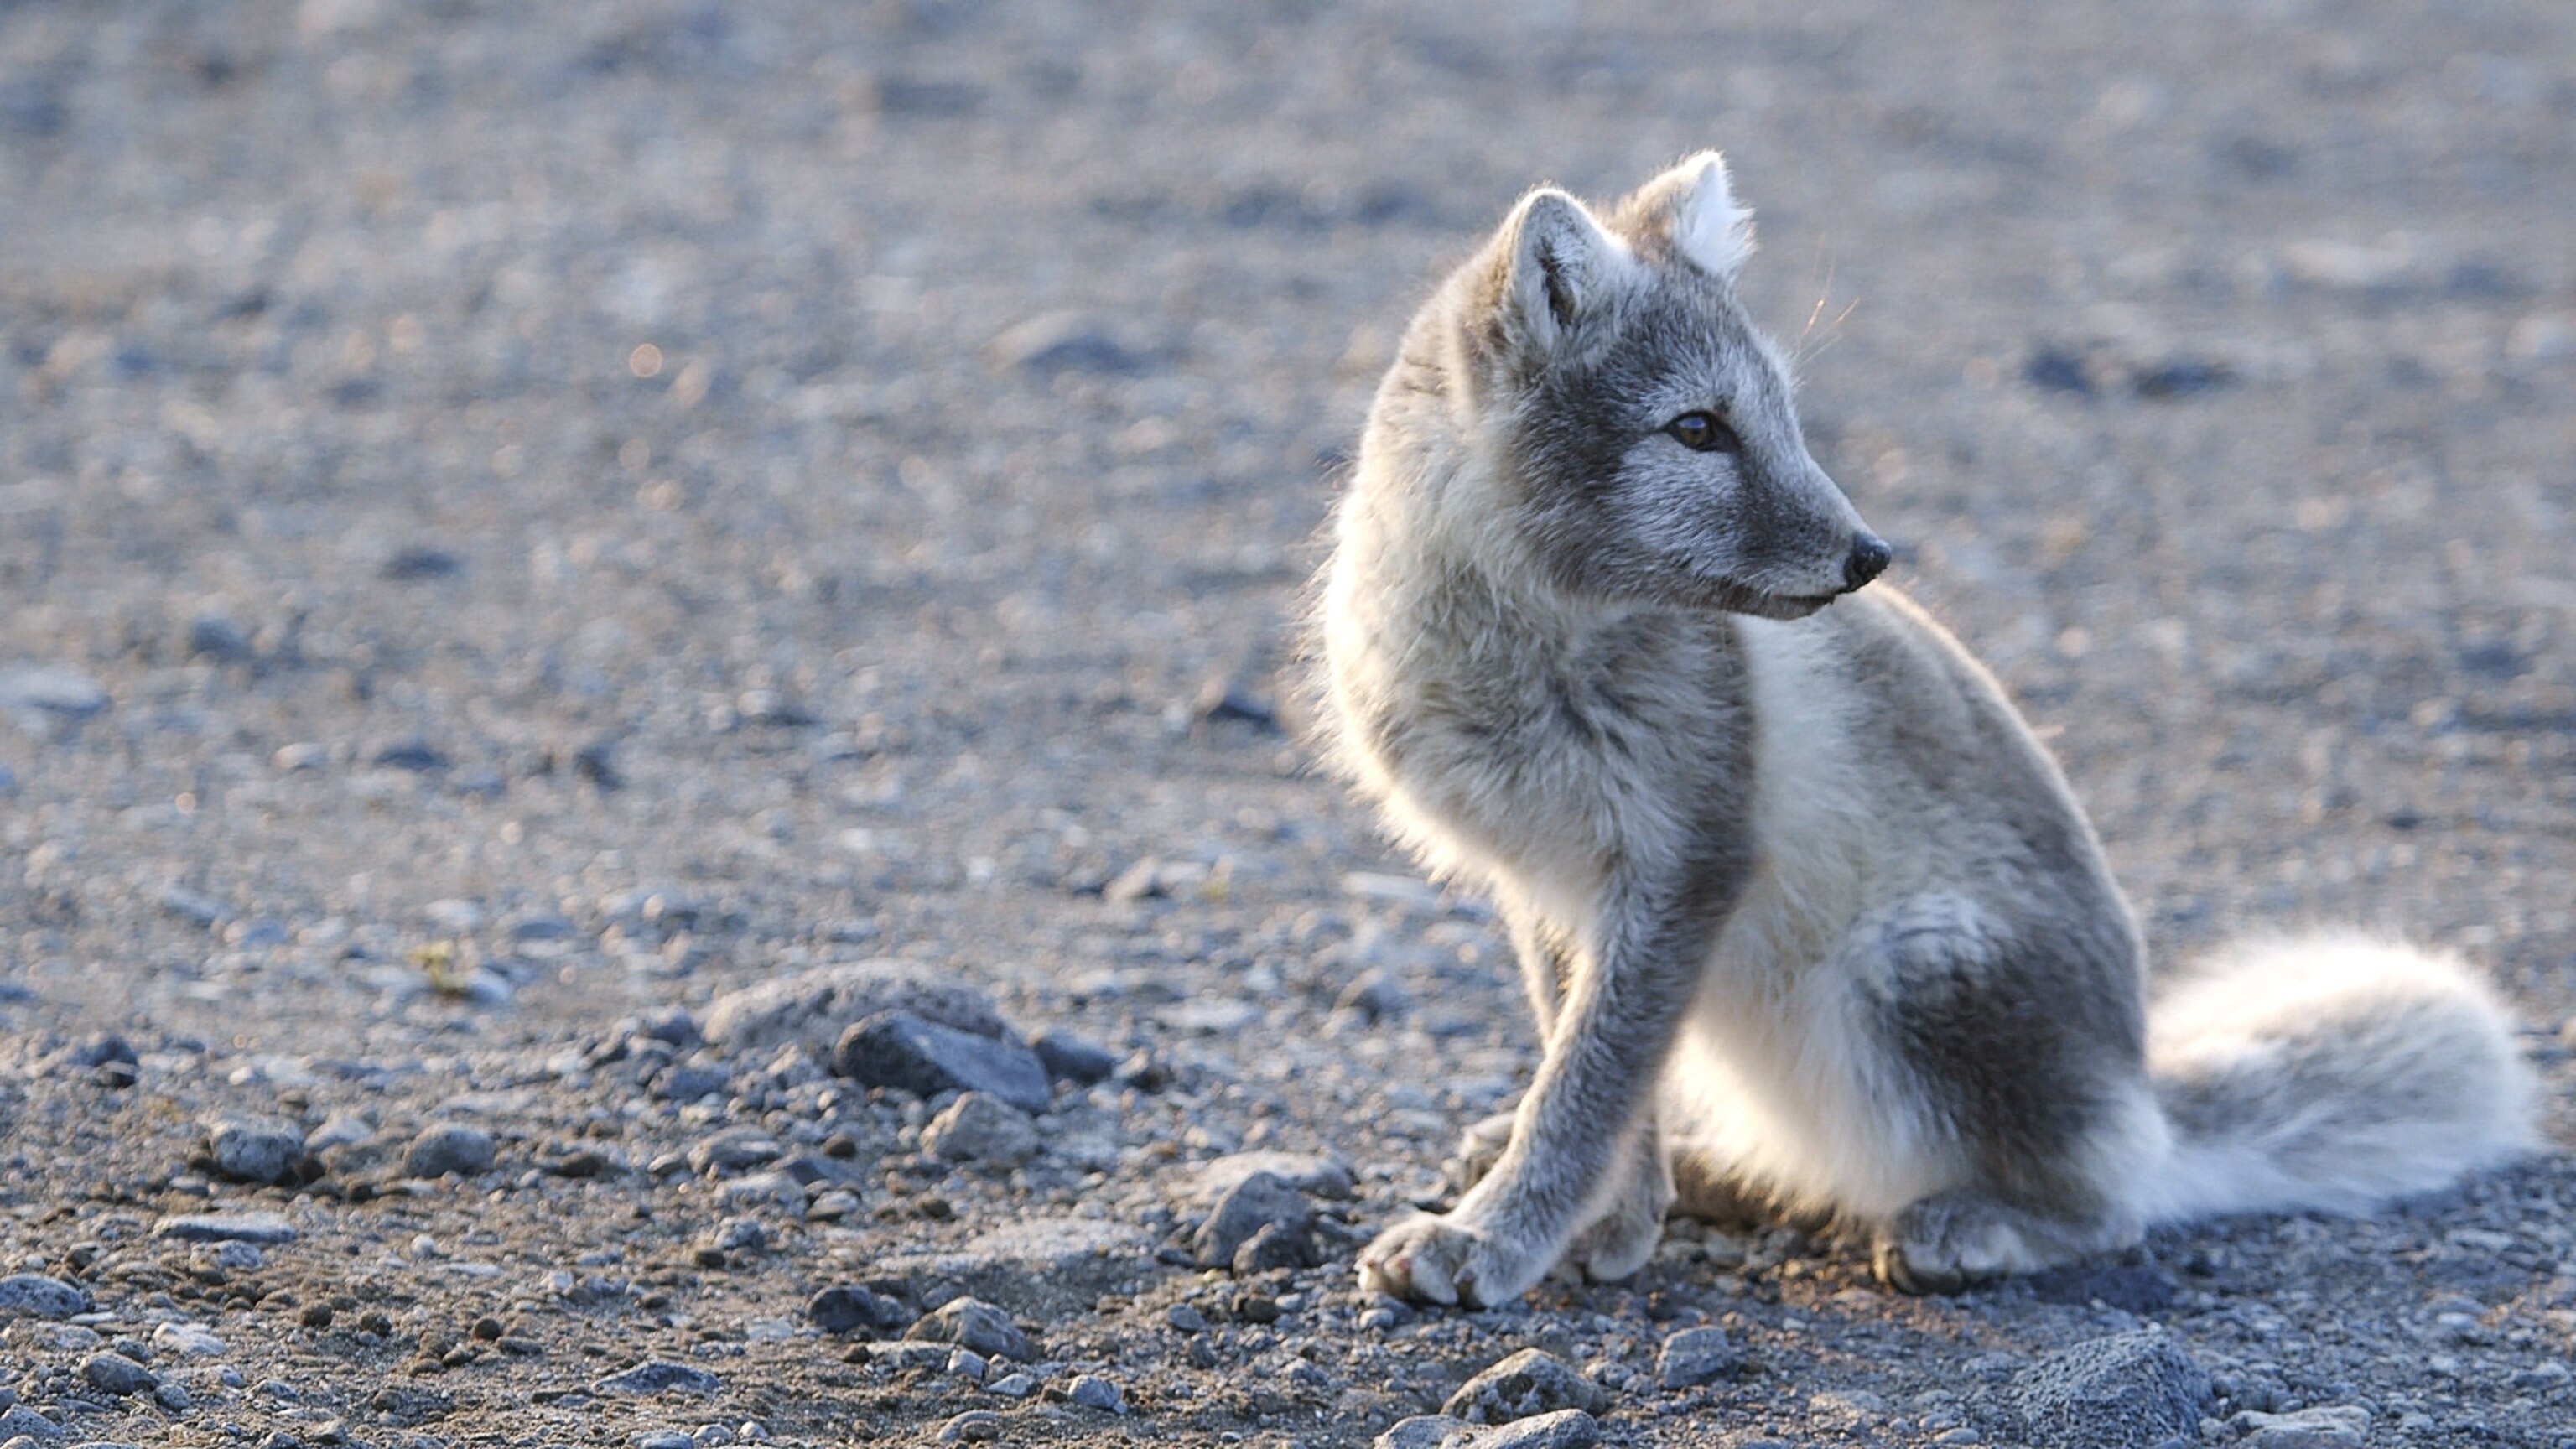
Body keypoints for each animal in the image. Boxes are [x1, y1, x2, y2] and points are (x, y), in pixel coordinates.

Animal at [1312, 151, 2538, 1307]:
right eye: (1697, 429)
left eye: (1784, 415)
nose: (1871, 557)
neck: (1515, 656)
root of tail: (2143, 1100)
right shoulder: (1553, 891)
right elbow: (1602, 1081)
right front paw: (1607, 1218)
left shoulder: (1687, 865)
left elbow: (1584, 1091)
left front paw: (1493, 1237)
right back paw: (1707, 1174)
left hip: (1906, 973)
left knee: (2112, 1211)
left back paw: (1978, 1224)